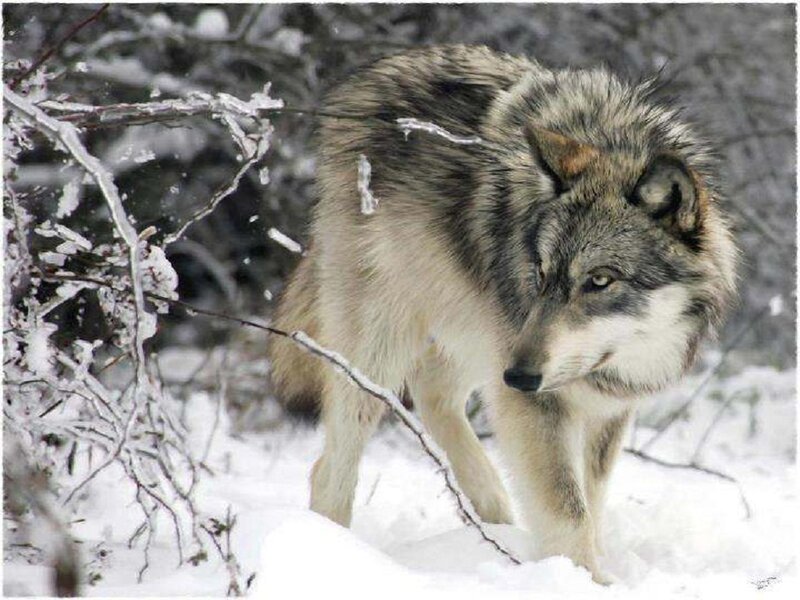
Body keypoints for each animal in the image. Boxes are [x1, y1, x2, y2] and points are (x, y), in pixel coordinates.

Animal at [268, 45, 737, 582]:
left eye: (600, 280)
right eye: (541, 273)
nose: (520, 376)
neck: (614, 140)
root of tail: (369, 77)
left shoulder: (607, 410)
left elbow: (590, 504)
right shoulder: (534, 400)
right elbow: (568, 510)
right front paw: (581, 580)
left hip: (475, 335)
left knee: (432, 394)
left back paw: (495, 517)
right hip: (391, 347)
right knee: (331, 468)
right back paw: (334, 552)